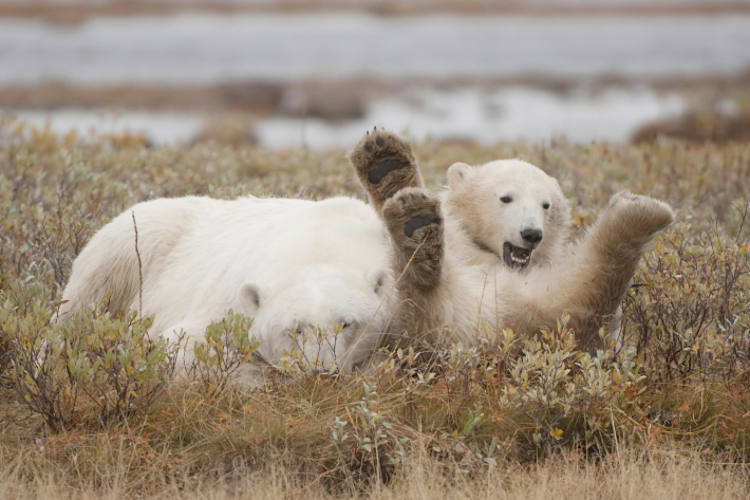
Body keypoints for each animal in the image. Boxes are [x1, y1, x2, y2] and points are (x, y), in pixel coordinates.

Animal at [57, 195, 397, 379]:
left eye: (346, 323)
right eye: (295, 329)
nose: (321, 371)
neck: (320, 241)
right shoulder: (227, 300)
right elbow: (183, 346)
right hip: (132, 247)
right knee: (81, 304)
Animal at [349, 128, 675, 352]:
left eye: (546, 204)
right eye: (506, 197)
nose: (532, 234)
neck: (488, 253)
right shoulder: (463, 242)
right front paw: (385, 160)